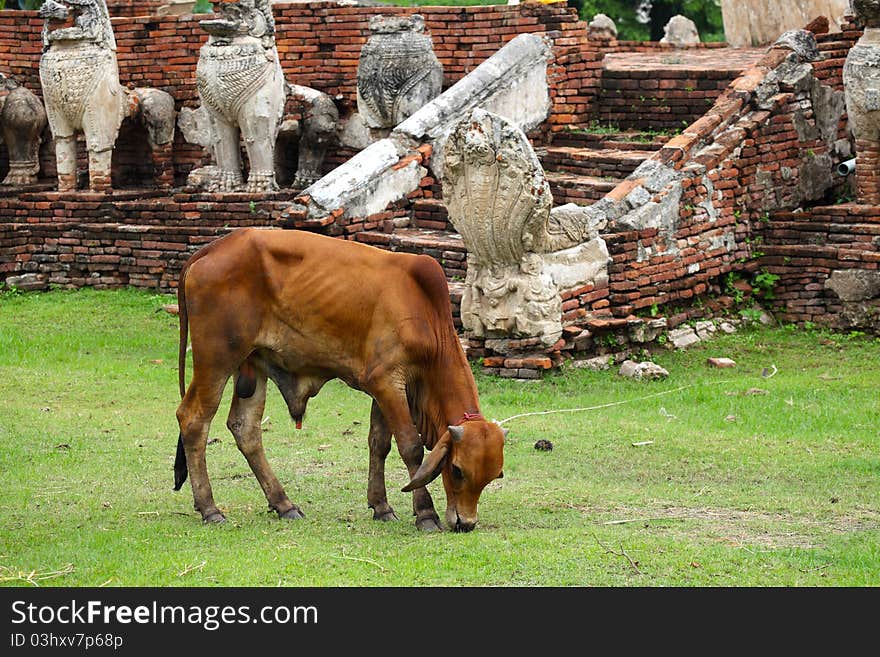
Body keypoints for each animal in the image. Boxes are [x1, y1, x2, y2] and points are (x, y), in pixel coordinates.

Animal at [173, 228, 506, 532]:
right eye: (457, 470)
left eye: (491, 478)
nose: (465, 523)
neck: (425, 317)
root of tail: (211, 249)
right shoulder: (387, 382)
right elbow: (410, 446)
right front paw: (426, 513)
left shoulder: (384, 388)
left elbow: (379, 444)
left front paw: (381, 507)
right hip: (217, 359)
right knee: (194, 420)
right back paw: (210, 509)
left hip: (254, 363)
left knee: (245, 428)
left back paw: (284, 504)